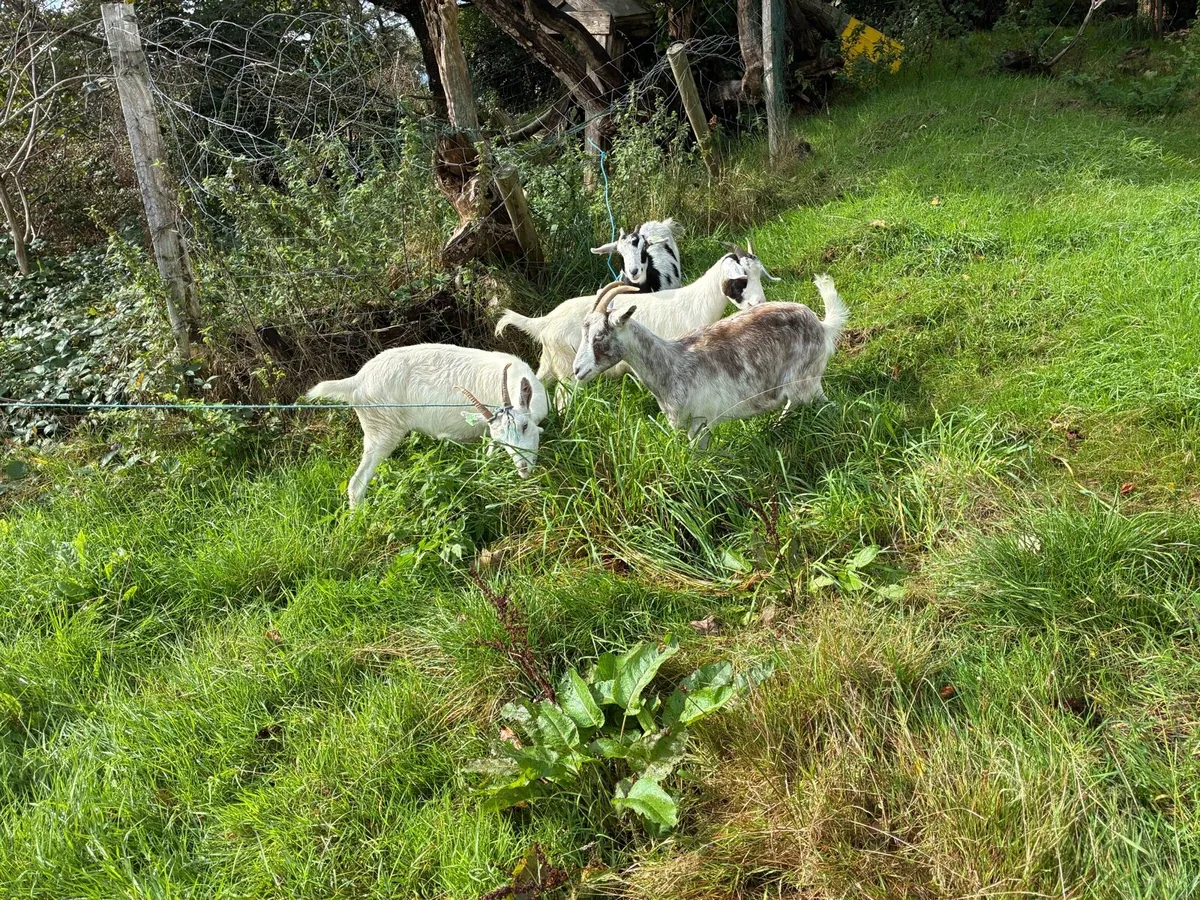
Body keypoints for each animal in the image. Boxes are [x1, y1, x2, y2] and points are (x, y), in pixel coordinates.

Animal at [306, 347, 548, 507]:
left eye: (524, 426)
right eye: (504, 439)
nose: (523, 468)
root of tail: (356, 381)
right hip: (382, 431)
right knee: (357, 483)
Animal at [495, 243, 779, 395]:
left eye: (758, 274)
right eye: (740, 278)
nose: (759, 303)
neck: (696, 302)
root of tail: (542, 322)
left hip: (549, 365)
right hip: (570, 372)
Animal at [572, 275, 847, 446]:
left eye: (599, 336)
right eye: (583, 332)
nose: (577, 370)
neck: (671, 365)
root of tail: (821, 325)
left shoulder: (700, 423)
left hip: (805, 380)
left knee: (822, 404)